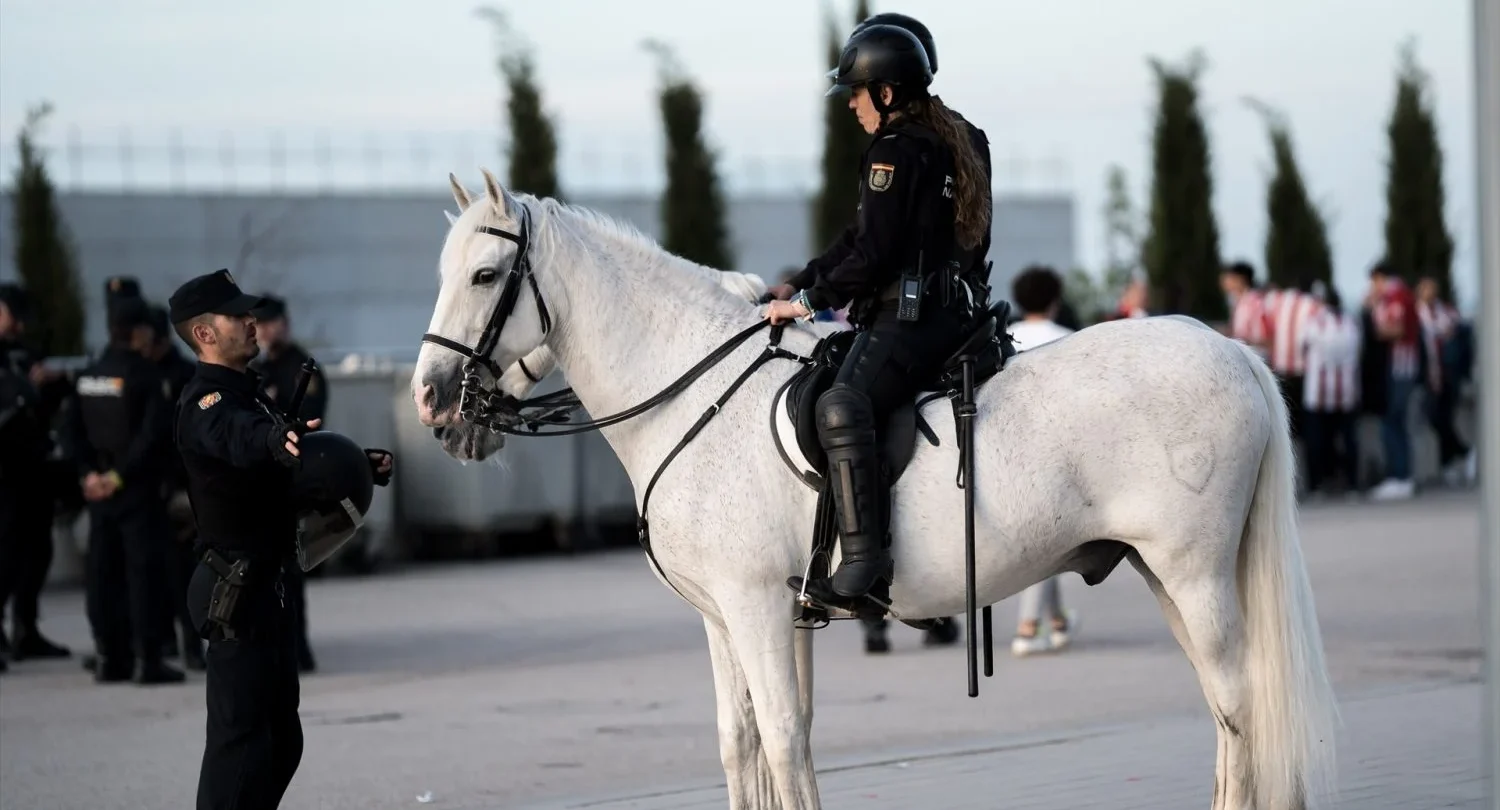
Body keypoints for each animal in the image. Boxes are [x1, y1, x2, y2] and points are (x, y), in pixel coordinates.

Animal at [412, 170, 1339, 810]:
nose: (430, 399)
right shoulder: (735, 617)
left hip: (1195, 574)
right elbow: (746, 743)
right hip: (1165, 577)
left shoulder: (755, 608)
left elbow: (783, 741)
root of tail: (1229, 347)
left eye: (486, 277)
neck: (692, 390)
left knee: (1239, 703)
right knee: (1226, 710)